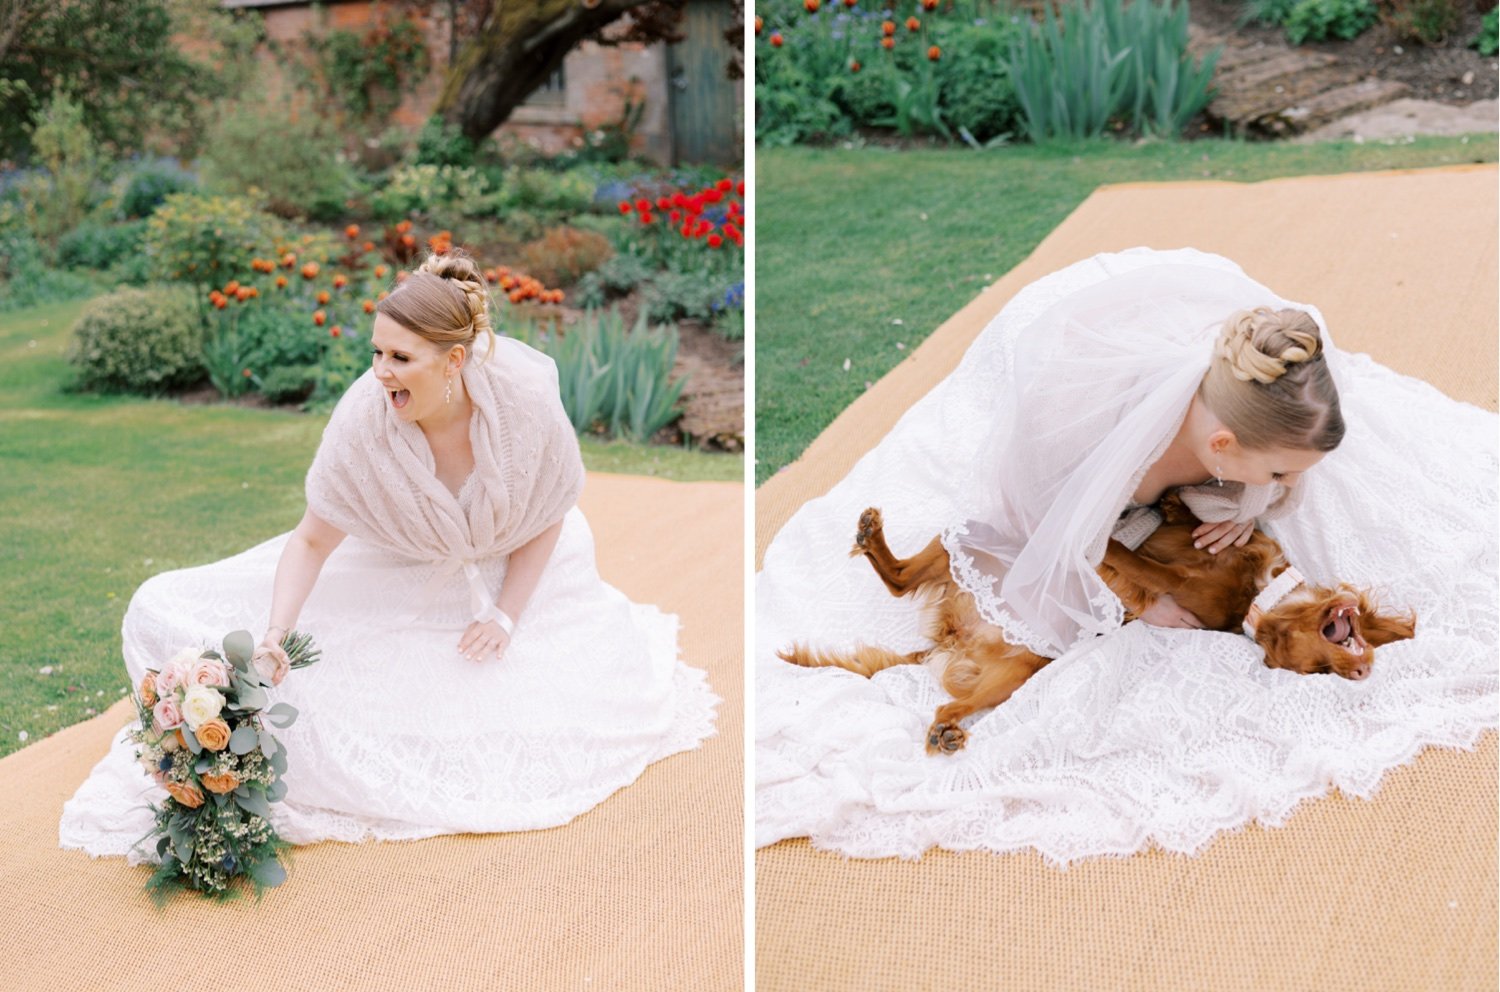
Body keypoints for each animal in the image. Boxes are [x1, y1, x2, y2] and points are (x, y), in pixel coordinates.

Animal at [786, 498, 1416, 753]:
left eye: (1317, 675)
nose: (1362, 669)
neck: (1260, 592)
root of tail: (954, 636)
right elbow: (1170, 523)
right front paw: (1163, 510)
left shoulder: (1174, 587)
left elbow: (1131, 560)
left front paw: (1101, 547)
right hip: (972, 542)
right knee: (901, 575)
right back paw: (872, 535)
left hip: (1012, 674)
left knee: (944, 703)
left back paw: (946, 733)